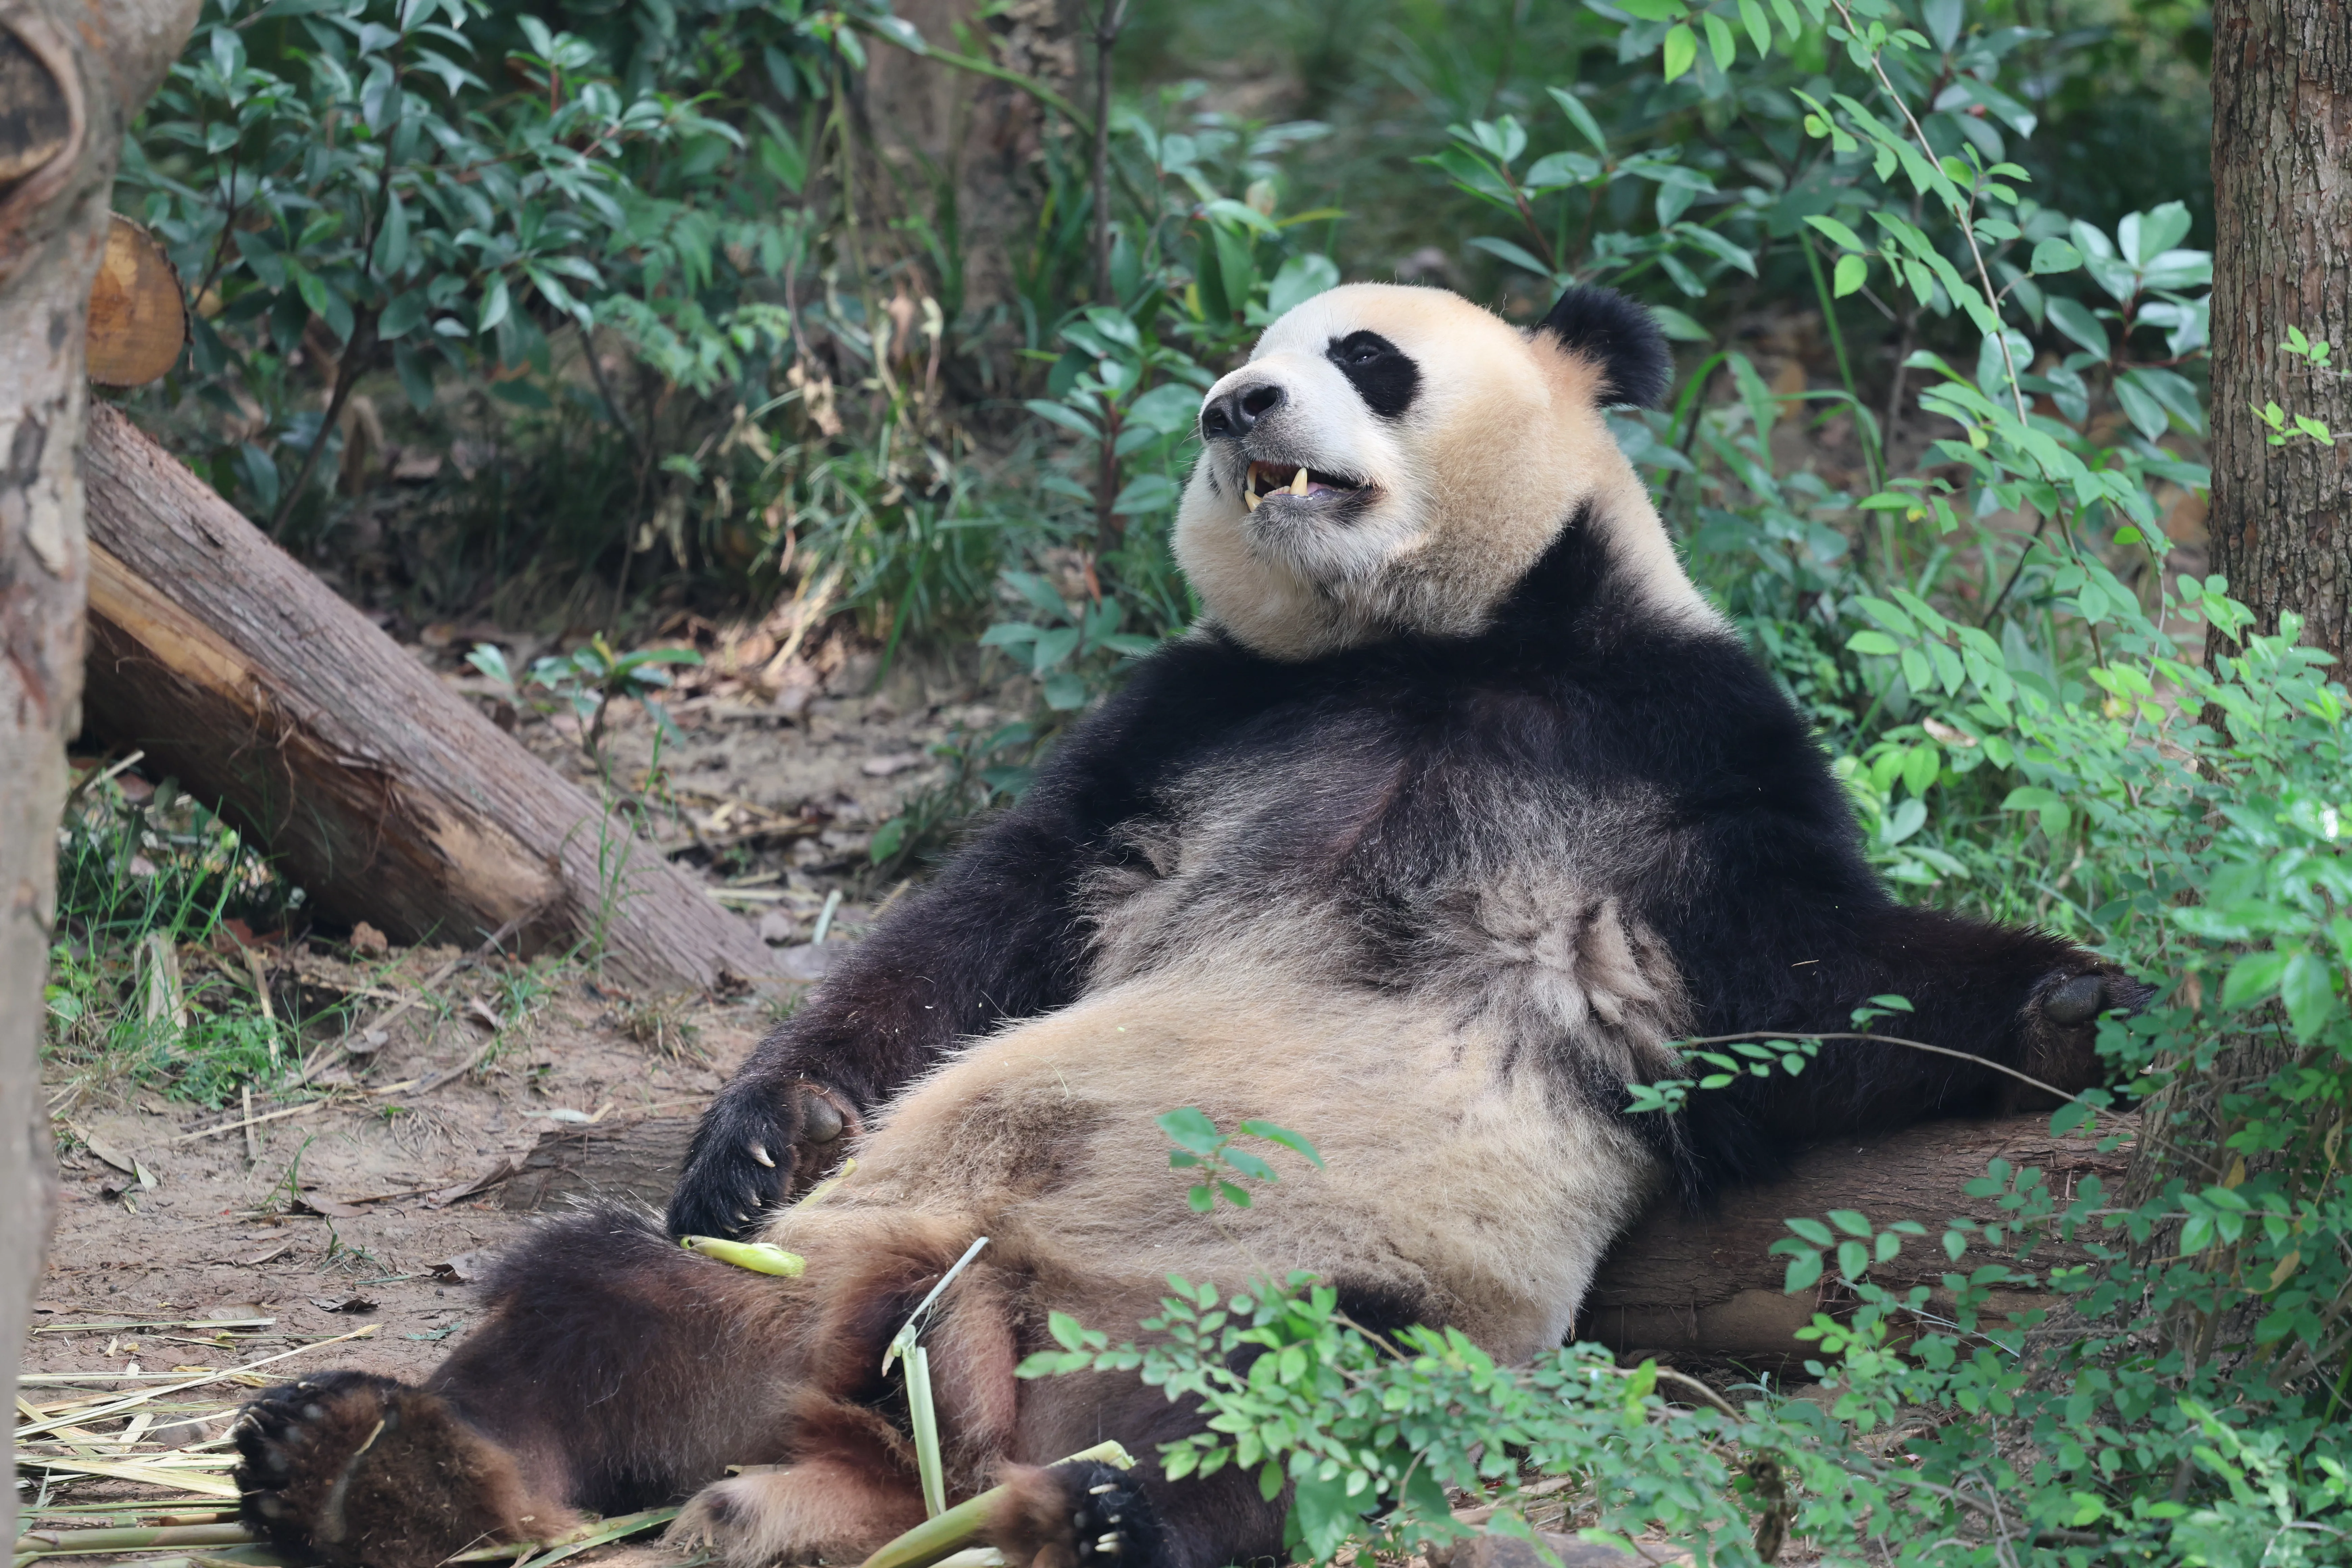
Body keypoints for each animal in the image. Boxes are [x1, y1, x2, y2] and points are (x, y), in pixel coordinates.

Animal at [232, 281, 2144, 1568]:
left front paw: (2084, 1006)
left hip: (1298, 1292)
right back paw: (365, 1460)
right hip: (813, 1278)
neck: (1420, 648)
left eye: (1365, 356)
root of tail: (930, 1397)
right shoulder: (1185, 718)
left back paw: (1095, 1516)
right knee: (591, 1294)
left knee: (1281, 1408)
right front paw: (766, 1123)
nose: (1237, 404)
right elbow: (992, 913)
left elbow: (1809, 976)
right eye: (1252, 344)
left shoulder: (1678, 741)